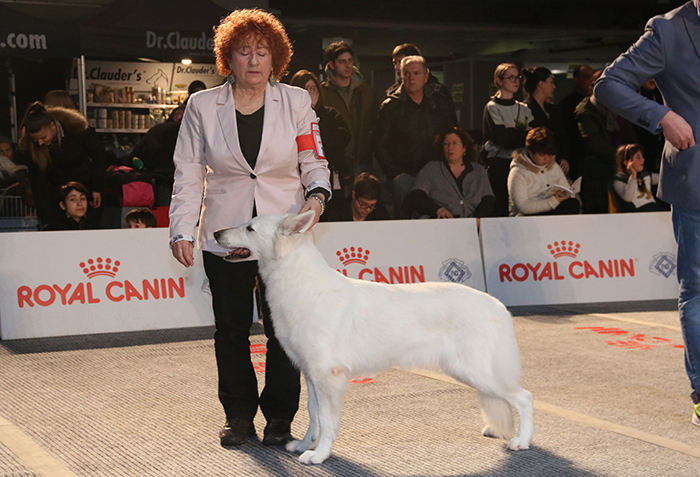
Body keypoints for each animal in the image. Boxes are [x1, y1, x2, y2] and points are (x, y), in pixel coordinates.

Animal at [216, 210, 532, 462]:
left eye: (249, 228)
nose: (216, 232)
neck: (299, 282)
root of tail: (498, 306)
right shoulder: (312, 375)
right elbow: (313, 415)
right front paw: (305, 445)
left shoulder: (329, 376)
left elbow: (328, 421)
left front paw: (319, 455)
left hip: (475, 370)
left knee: (525, 397)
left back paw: (522, 441)